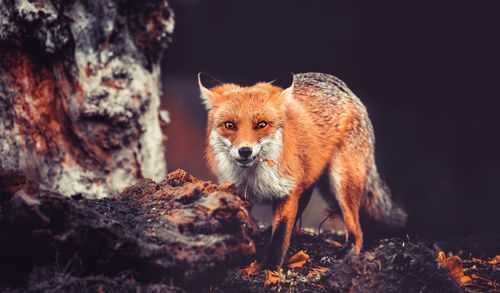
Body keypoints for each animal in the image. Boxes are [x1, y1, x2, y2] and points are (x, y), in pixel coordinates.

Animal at [198, 71, 406, 270]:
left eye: (261, 124)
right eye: (229, 125)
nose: (245, 150)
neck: (254, 178)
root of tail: (342, 87)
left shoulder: (288, 192)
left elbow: (280, 236)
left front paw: (270, 268)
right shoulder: (239, 192)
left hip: (342, 184)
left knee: (357, 229)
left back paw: (348, 251)